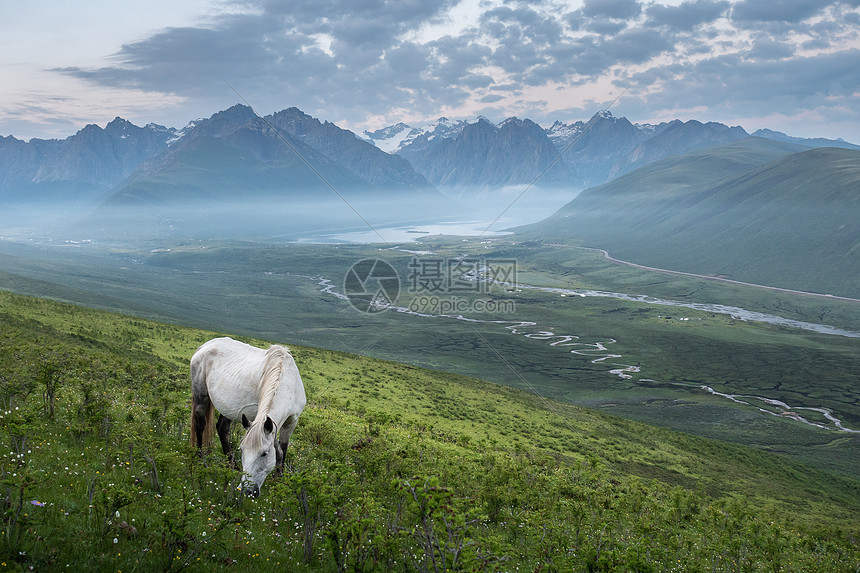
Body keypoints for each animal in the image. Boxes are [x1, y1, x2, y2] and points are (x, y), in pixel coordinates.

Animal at [191, 338, 306, 494]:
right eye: (243, 450)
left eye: (264, 453)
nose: (247, 490)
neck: (288, 384)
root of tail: (205, 345)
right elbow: (279, 450)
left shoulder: (291, 422)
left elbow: (282, 449)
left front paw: (279, 481)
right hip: (201, 395)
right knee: (200, 424)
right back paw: (201, 460)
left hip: (230, 408)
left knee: (222, 428)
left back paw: (233, 467)